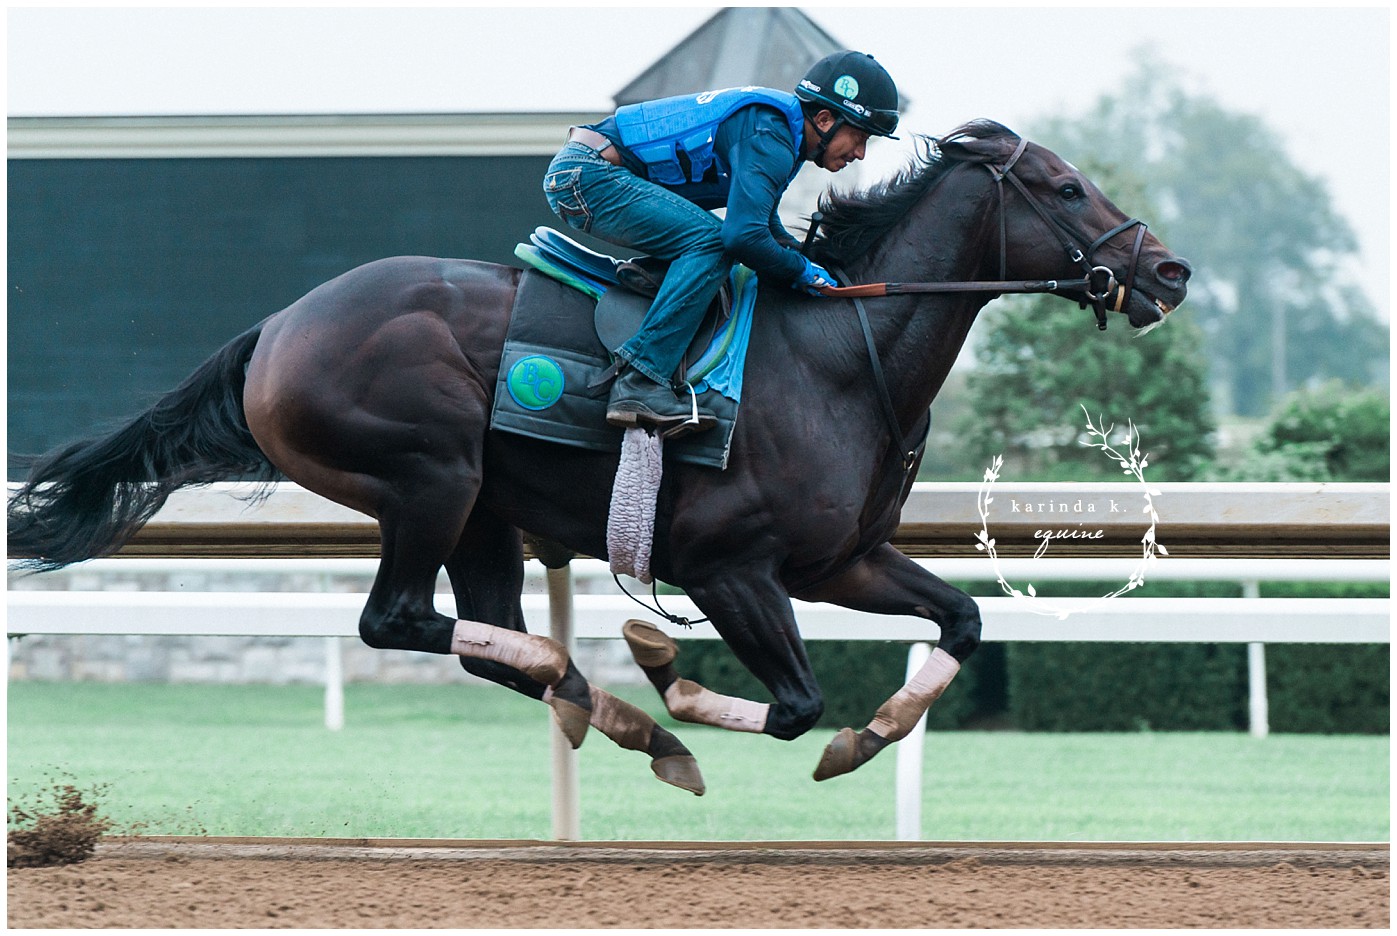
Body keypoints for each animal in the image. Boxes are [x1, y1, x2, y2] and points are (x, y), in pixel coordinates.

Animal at [7, 120, 1191, 794]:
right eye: (1066, 188)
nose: (1168, 272)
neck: (836, 356)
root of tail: (277, 326)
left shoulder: (839, 563)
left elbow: (962, 620)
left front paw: (875, 731)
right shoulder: (728, 568)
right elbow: (795, 703)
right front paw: (676, 673)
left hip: (480, 513)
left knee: (487, 640)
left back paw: (608, 707)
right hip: (430, 479)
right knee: (402, 622)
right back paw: (625, 698)